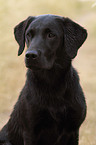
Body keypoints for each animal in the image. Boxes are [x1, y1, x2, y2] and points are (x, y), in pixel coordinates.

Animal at [0, 14, 87, 145]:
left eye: (51, 35)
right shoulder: (30, 131)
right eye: (28, 34)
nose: (30, 55)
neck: (52, 84)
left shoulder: (73, 131)